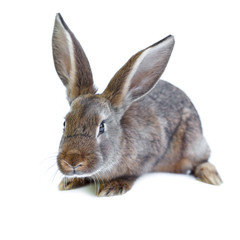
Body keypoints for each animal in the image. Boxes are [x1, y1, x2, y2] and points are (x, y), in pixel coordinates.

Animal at [51, 13, 222, 196]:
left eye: (102, 127)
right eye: (64, 123)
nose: (72, 162)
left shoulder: (150, 152)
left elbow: (133, 173)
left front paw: (113, 187)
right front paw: (70, 181)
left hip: (192, 142)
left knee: (202, 160)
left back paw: (210, 176)